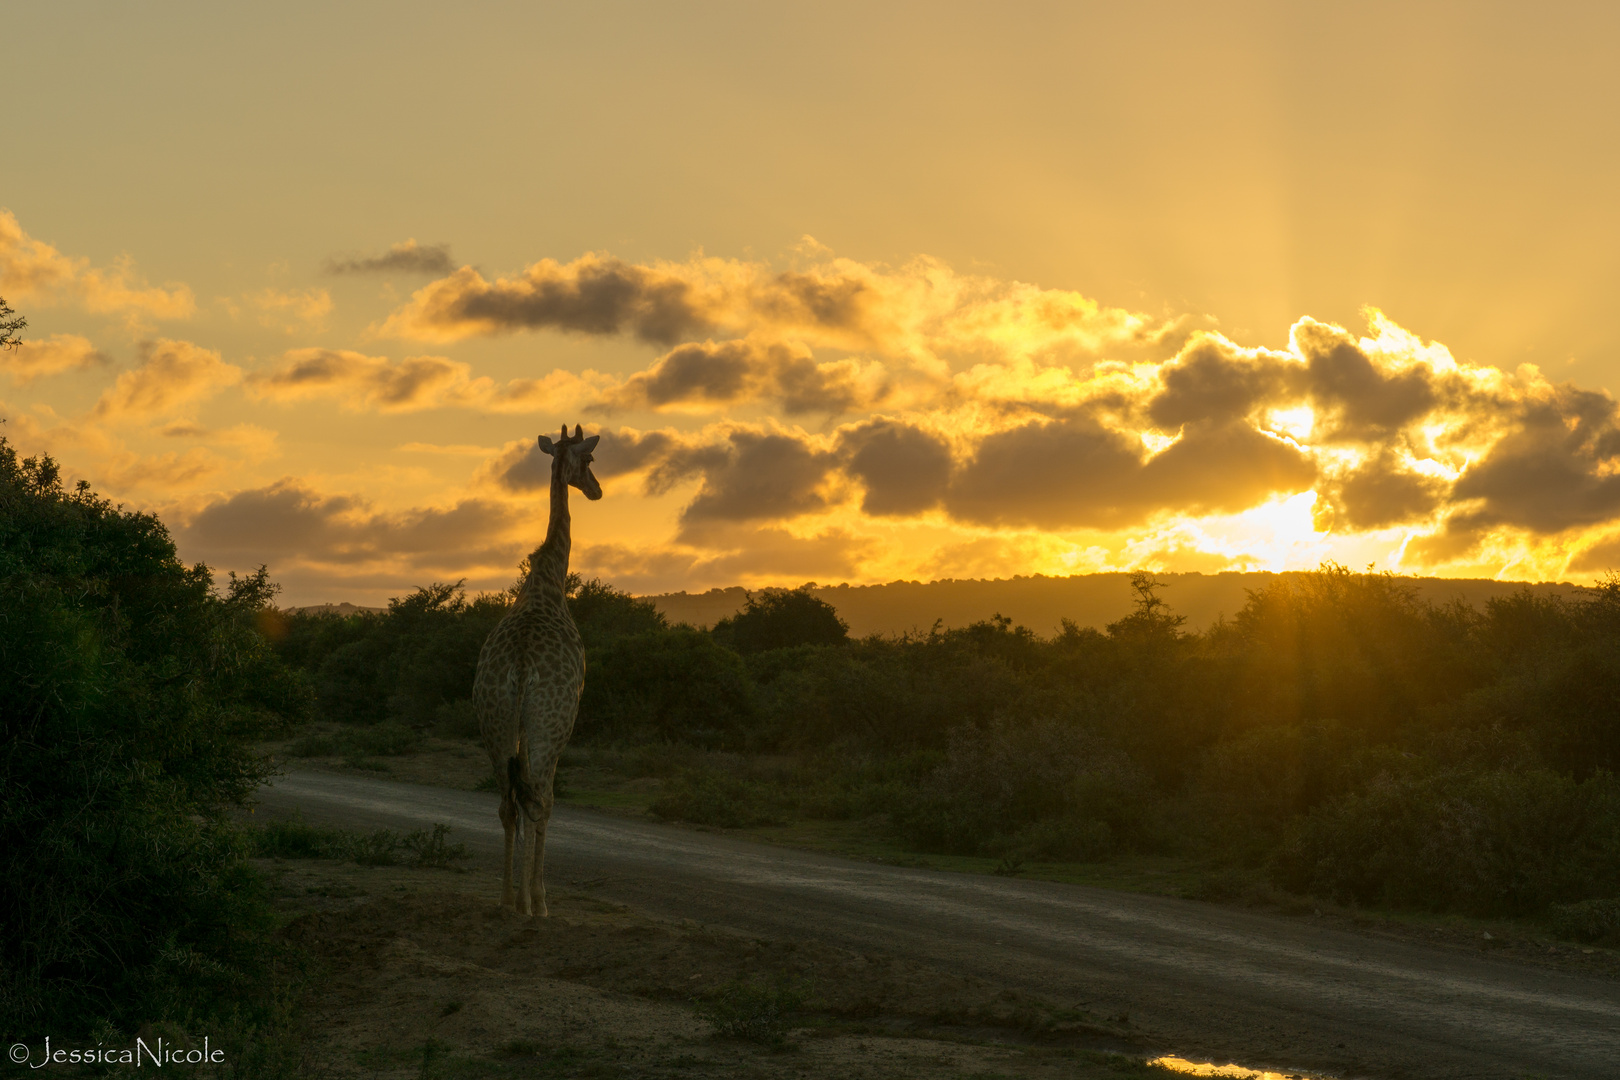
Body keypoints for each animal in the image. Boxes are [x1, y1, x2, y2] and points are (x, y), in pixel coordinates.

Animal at [473, 420, 602, 913]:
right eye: (590, 460)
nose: (597, 490)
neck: (548, 581)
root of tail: (522, 667)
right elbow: (541, 802)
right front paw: (538, 898)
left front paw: (518, 896)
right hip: (552, 721)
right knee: (540, 800)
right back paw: (538, 903)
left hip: (494, 720)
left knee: (509, 802)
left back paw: (508, 899)